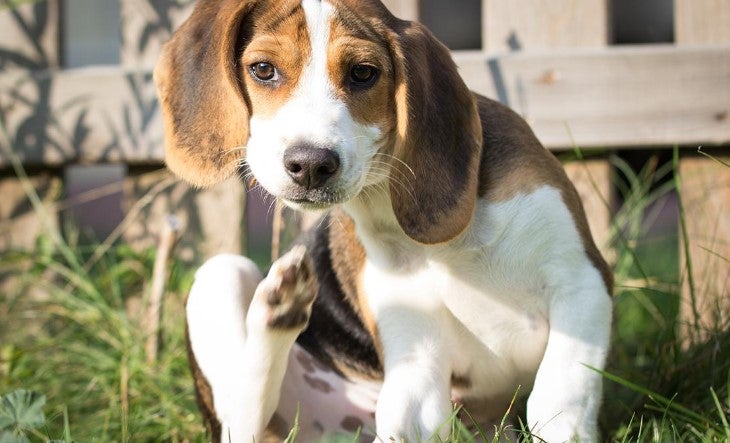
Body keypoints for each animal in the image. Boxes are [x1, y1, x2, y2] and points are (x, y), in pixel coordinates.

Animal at [152, 1, 608, 442]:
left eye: (362, 73)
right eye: (263, 69)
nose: (311, 164)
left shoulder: (582, 284)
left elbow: (558, 401)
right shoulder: (416, 351)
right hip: (221, 273)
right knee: (241, 419)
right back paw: (278, 307)